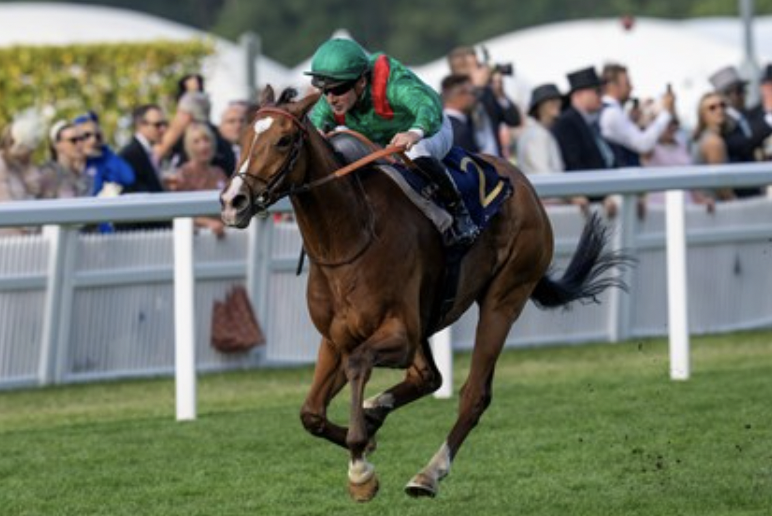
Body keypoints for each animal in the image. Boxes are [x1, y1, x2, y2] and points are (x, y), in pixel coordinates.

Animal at [220, 86, 630, 502]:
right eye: (244, 136)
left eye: (284, 140)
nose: (233, 201)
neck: (350, 237)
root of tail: (524, 184)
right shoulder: (335, 338)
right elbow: (311, 414)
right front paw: (366, 435)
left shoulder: (398, 333)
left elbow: (358, 364)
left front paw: (361, 466)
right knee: (428, 377)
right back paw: (376, 408)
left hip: (504, 298)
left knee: (473, 394)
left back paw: (428, 473)